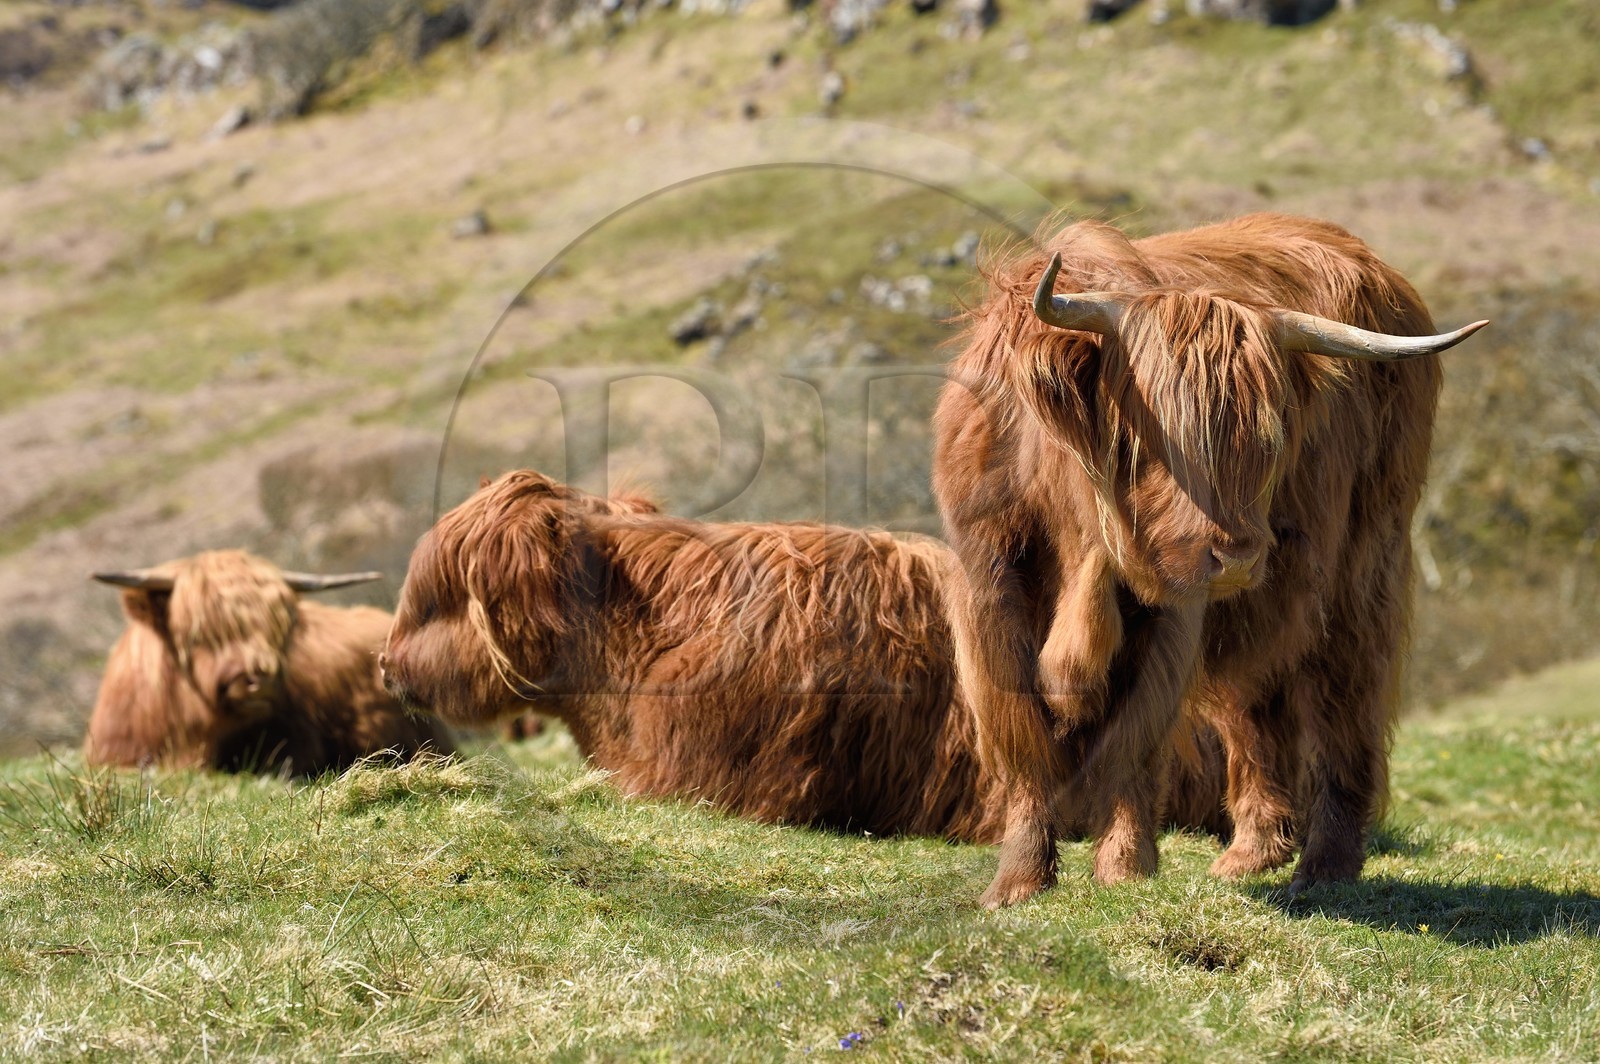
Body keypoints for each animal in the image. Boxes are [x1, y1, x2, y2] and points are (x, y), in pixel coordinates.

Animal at [932, 212, 1488, 907]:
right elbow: (1023, 733)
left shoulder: (1170, 615)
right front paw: (1019, 881)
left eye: (1267, 436)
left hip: (1363, 569)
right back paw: (1251, 854)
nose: (1239, 556)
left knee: (1345, 698)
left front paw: (1124, 869)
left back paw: (1324, 867)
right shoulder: (991, 593)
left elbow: (1136, 736)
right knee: (1256, 699)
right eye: (1153, 435)